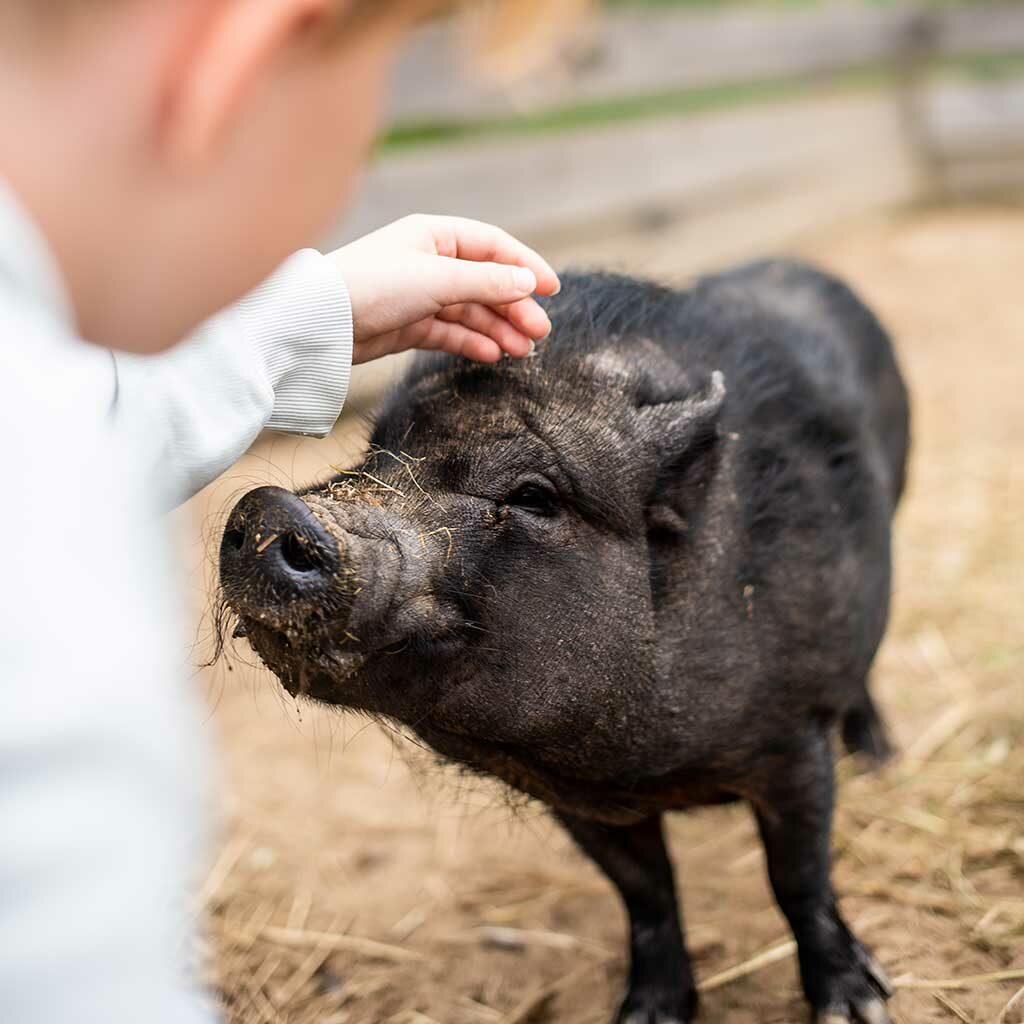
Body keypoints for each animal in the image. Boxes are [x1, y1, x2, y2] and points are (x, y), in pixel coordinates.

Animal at [220, 259, 910, 1024]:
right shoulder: (579, 802)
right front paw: (644, 1015)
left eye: (533, 496)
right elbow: (645, 893)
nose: (270, 507)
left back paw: (880, 758)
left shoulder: (792, 740)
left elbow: (799, 878)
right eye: (380, 454)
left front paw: (858, 1006)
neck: (641, 764)